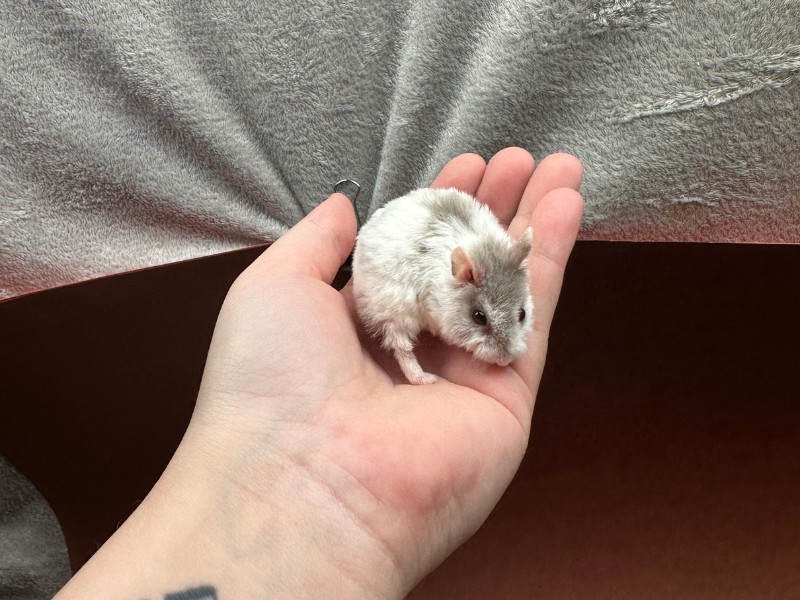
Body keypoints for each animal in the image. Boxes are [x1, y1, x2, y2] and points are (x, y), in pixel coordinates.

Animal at [352, 187, 533, 385]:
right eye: (478, 317)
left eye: (522, 314)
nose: (504, 361)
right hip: (395, 311)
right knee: (402, 349)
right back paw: (427, 379)